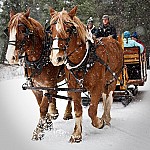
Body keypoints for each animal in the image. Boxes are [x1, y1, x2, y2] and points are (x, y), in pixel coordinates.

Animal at [5, 8, 73, 140]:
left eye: (23, 30)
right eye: (8, 30)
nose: (10, 57)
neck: (39, 59)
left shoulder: (48, 85)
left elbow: (42, 107)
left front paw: (38, 131)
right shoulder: (36, 87)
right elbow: (40, 104)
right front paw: (48, 123)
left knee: (70, 93)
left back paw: (67, 113)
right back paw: (53, 112)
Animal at [49, 6, 123, 142]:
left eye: (68, 29)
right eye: (51, 30)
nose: (56, 58)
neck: (85, 60)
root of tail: (113, 40)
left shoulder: (97, 86)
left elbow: (92, 110)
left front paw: (99, 122)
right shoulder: (74, 87)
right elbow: (78, 110)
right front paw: (77, 134)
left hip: (112, 79)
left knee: (109, 97)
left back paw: (106, 118)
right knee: (105, 96)